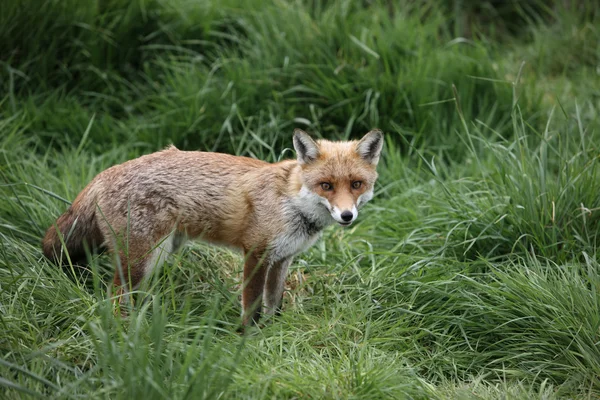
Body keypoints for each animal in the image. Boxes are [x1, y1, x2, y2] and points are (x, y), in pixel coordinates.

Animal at [42, 129, 382, 324]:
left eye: (356, 184)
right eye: (326, 185)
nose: (347, 216)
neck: (291, 201)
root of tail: (103, 174)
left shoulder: (282, 258)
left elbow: (274, 304)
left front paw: (274, 333)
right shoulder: (255, 253)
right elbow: (252, 306)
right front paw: (249, 339)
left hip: (158, 254)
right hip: (143, 259)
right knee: (113, 297)